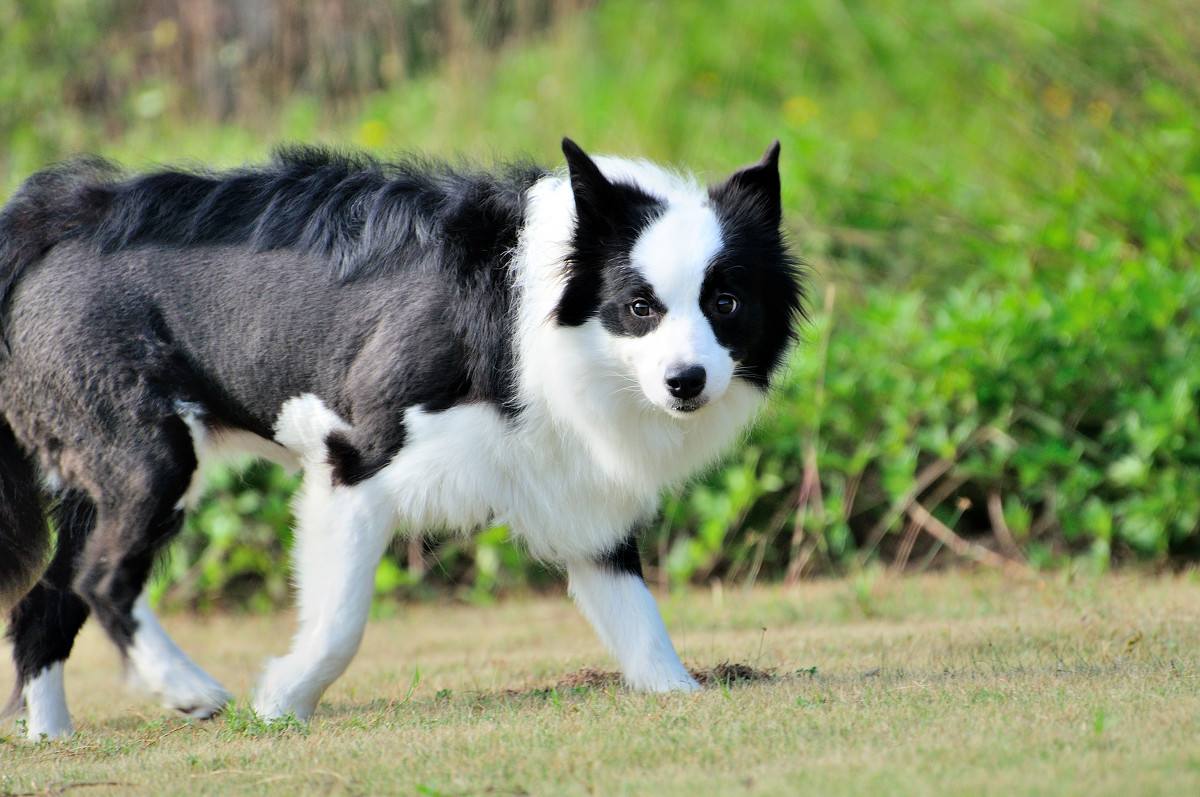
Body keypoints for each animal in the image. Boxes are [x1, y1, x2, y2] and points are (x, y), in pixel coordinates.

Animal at [2, 138, 806, 739]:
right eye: (640, 307)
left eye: (726, 302)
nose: (687, 381)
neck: (522, 313)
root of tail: (58, 221)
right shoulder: (352, 461)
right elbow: (340, 622)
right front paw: (282, 700)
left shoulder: (577, 500)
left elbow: (641, 625)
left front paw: (681, 694)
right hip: (154, 459)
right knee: (104, 578)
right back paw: (187, 688)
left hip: (102, 483)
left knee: (46, 602)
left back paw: (50, 736)